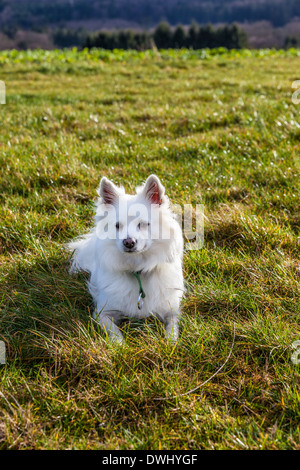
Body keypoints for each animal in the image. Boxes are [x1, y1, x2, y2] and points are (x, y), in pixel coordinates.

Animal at [67, 174, 183, 344]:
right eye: (117, 226)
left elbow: (172, 330)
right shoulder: (104, 313)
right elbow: (115, 334)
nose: (128, 242)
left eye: (143, 224)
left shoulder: (171, 311)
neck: (138, 268)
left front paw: (170, 344)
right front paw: (120, 346)